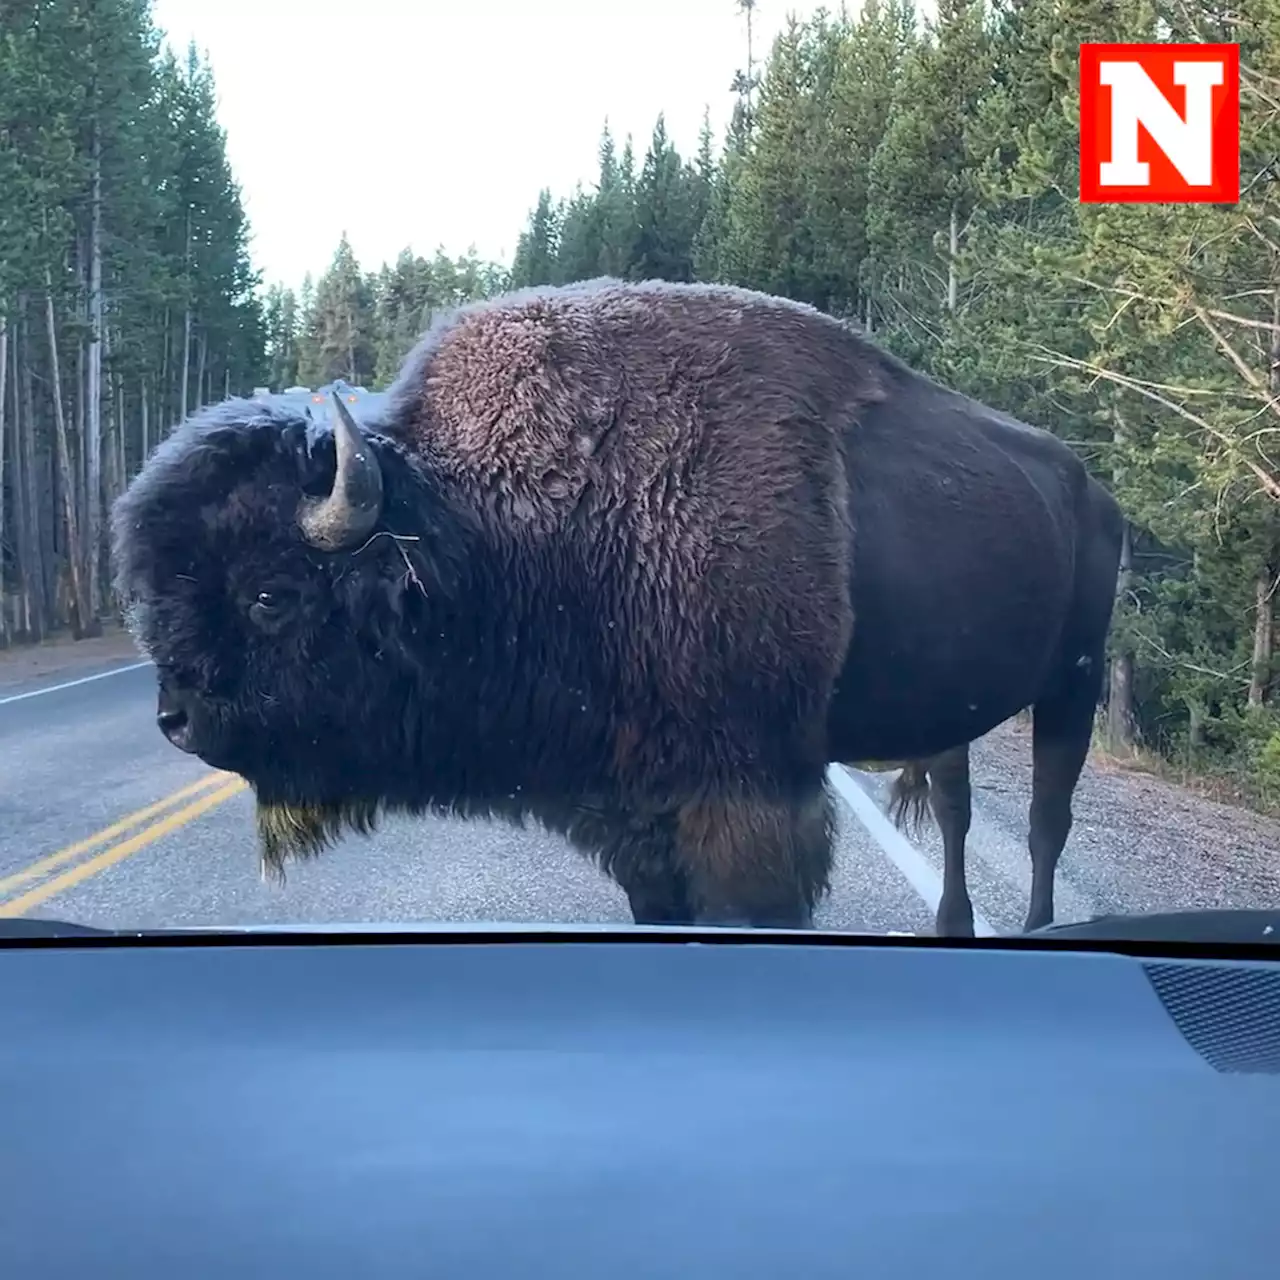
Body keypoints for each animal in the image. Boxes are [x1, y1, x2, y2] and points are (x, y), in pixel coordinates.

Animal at [115, 280, 1126, 936]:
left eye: (270, 594)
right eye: (156, 588)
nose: (175, 718)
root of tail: (1092, 489)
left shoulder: (749, 795)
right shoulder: (632, 804)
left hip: (1072, 687)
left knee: (1047, 820)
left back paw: (1041, 930)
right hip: (961, 709)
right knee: (958, 811)